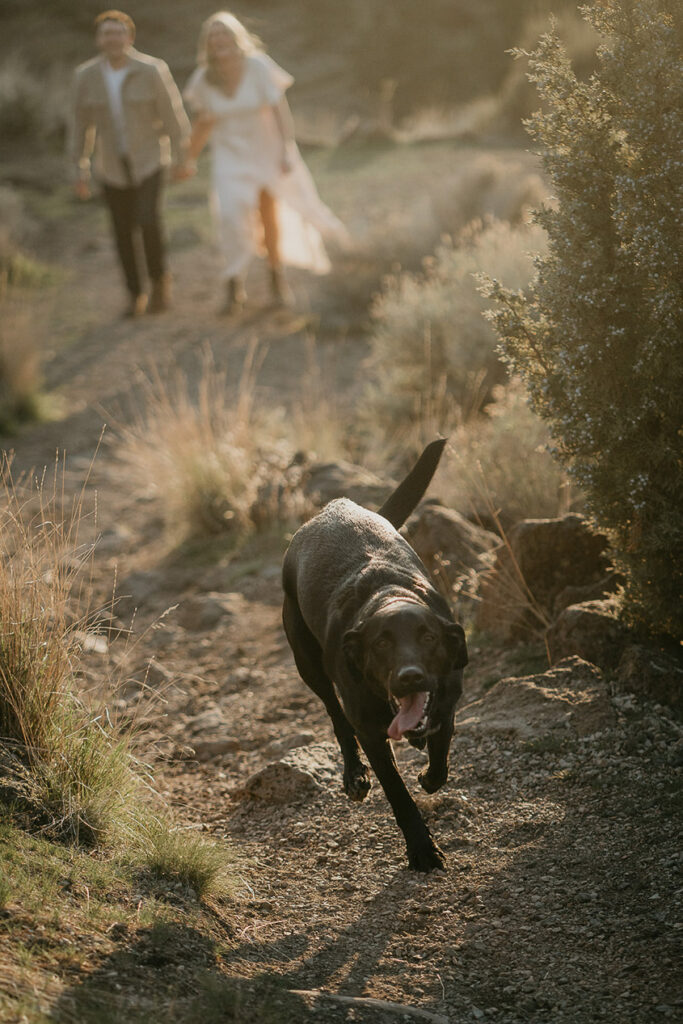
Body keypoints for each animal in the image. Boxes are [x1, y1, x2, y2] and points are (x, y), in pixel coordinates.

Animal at [280, 440, 466, 872]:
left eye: (428, 637)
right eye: (380, 644)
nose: (409, 676)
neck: (388, 595)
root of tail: (336, 506)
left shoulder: (448, 697)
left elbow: (442, 747)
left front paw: (430, 774)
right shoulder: (369, 732)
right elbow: (398, 793)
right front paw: (422, 849)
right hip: (307, 663)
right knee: (335, 715)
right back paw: (353, 776)